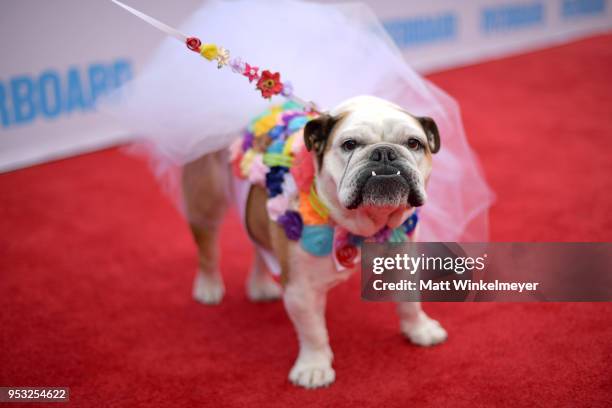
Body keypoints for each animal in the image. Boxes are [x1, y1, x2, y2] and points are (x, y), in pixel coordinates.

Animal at [182, 95, 444, 388]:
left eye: (414, 143)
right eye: (349, 144)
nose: (384, 153)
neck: (363, 223)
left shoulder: (404, 262)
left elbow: (410, 302)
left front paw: (419, 329)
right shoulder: (301, 290)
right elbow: (313, 331)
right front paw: (314, 367)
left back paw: (260, 285)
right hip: (206, 195)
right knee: (207, 244)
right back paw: (208, 287)